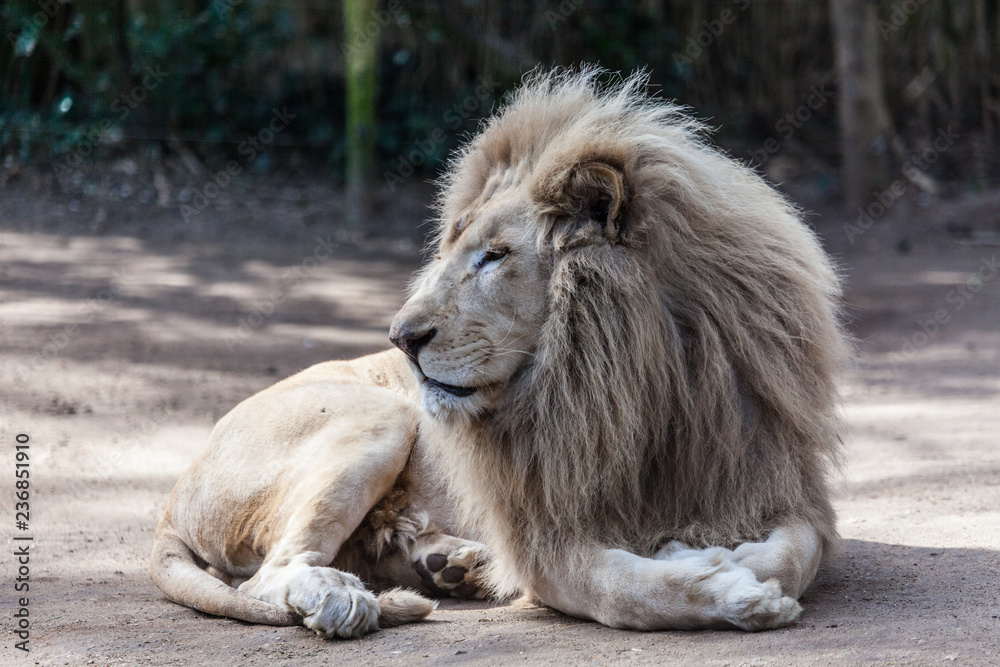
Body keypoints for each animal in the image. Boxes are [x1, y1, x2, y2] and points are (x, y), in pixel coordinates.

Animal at [151, 68, 848, 637]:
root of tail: (176, 492)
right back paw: (343, 600)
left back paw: (450, 564)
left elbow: (797, 551)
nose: (401, 337)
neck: (652, 381)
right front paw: (732, 591)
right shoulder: (545, 535)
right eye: (452, 251)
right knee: (269, 575)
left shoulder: (768, 478)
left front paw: (722, 556)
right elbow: (624, 591)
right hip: (378, 416)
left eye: (495, 256)